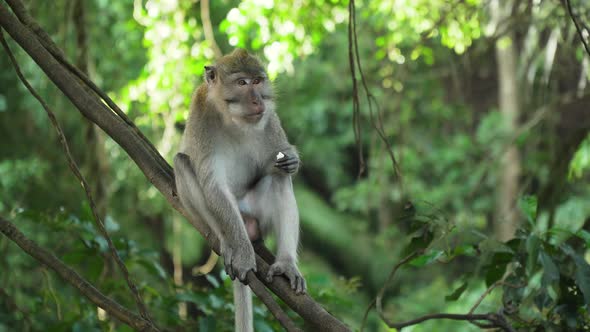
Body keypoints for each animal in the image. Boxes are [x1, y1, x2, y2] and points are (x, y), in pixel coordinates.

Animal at [175, 49, 306, 332]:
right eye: (242, 83)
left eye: (257, 81)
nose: (257, 100)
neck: (231, 118)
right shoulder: (201, 117)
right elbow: (213, 184)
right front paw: (244, 257)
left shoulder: (270, 118)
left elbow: (277, 161)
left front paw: (292, 160)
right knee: (182, 163)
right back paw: (227, 242)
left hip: (257, 214)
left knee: (278, 178)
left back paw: (285, 264)